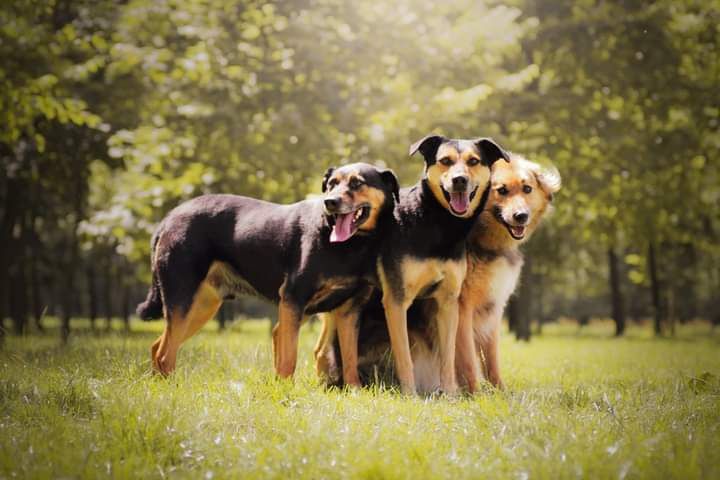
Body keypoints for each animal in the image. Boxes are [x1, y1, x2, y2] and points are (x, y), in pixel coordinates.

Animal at [136, 163, 400, 380]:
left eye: (357, 183)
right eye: (331, 184)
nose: (330, 202)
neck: (348, 245)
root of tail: (169, 218)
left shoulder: (348, 311)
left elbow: (350, 362)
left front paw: (353, 391)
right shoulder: (293, 299)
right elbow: (288, 359)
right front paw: (285, 392)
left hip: (201, 306)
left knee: (158, 347)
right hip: (182, 298)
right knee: (164, 354)